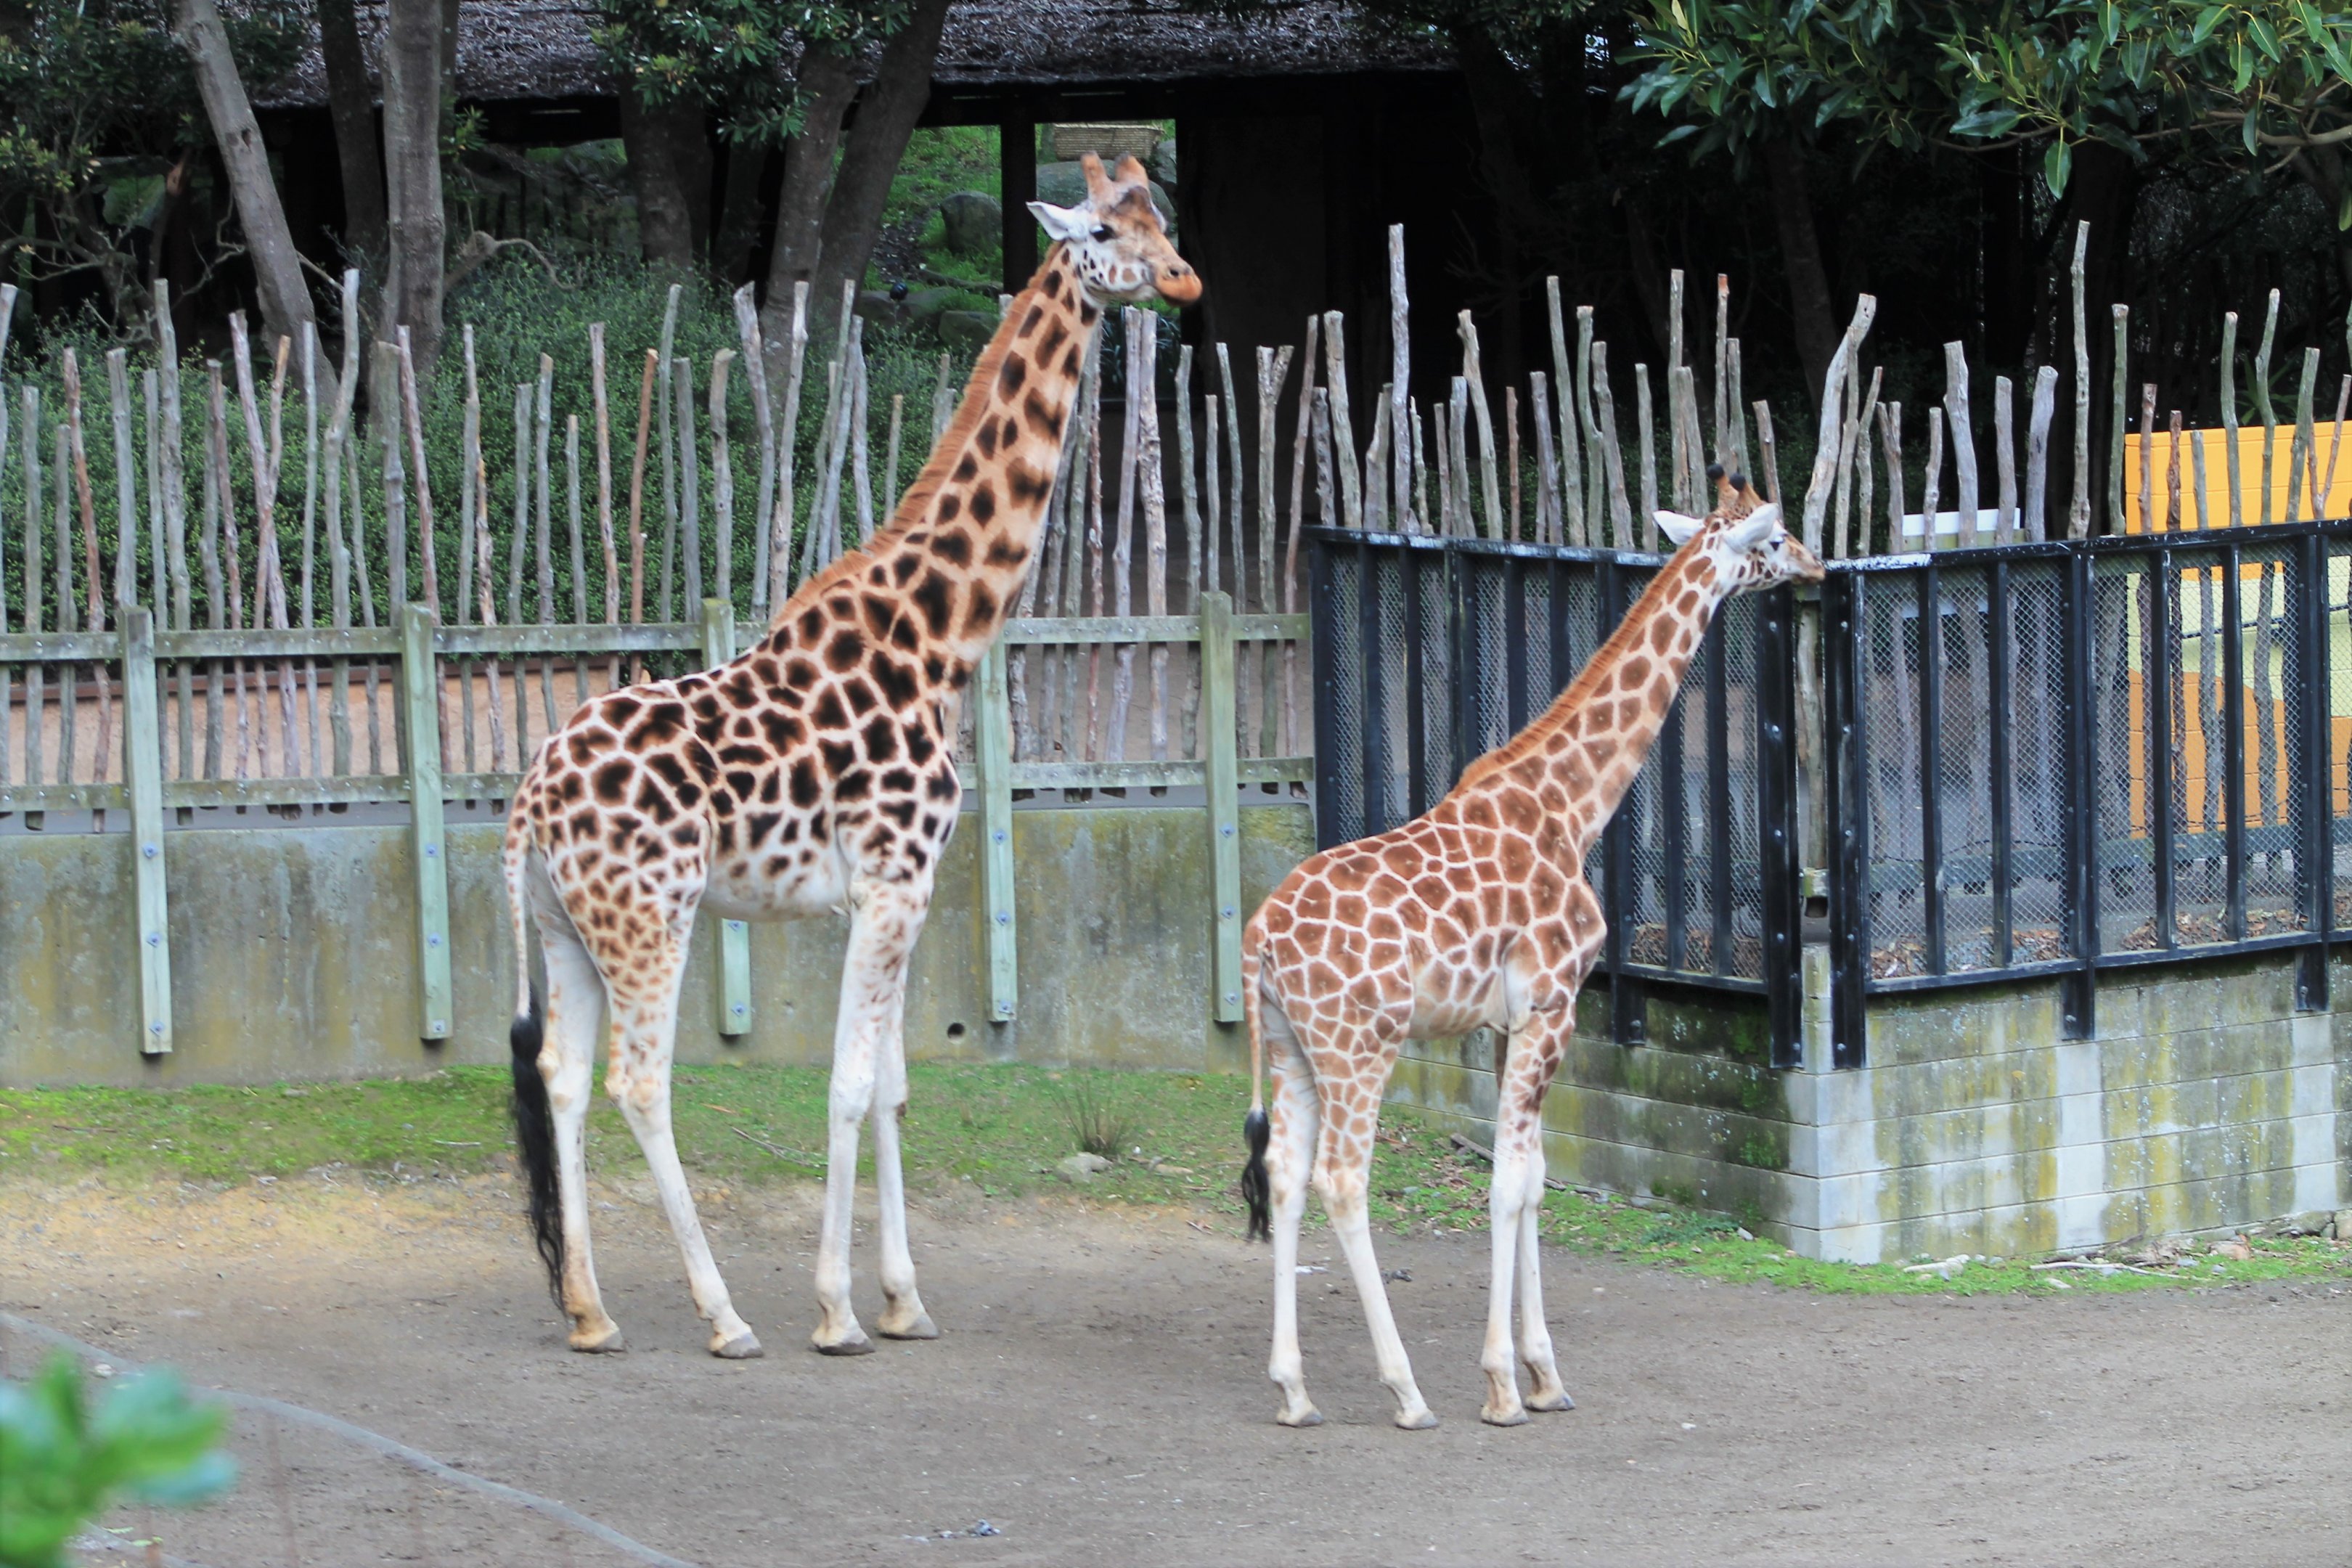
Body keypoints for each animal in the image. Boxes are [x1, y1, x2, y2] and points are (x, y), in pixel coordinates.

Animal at [501, 153, 1199, 1360]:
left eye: (1164, 215)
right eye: (1110, 230)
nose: (1186, 280)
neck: (940, 640)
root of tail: (527, 809)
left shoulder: (891, 894)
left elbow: (890, 1087)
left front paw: (903, 1298)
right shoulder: (890, 884)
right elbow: (847, 1082)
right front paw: (835, 1311)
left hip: (566, 927)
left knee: (565, 1078)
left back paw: (591, 1314)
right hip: (650, 917)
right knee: (641, 1082)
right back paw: (726, 1316)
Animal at [1235, 473, 1821, 1427]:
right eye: (1771, 538)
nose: (1817, 563)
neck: (1574, 805)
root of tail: (1257, 941)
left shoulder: (1514, 1021)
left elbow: (1537, 1175)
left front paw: (1545, 1374)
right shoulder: (1554, 1003)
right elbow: (1510, 1182)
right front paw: (1504, 1384)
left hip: (1290, 1046)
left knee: (1284, 1175)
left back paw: (1293, 1390)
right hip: (1361, 1045)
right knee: (1342, 1180)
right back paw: (1406, 1391)